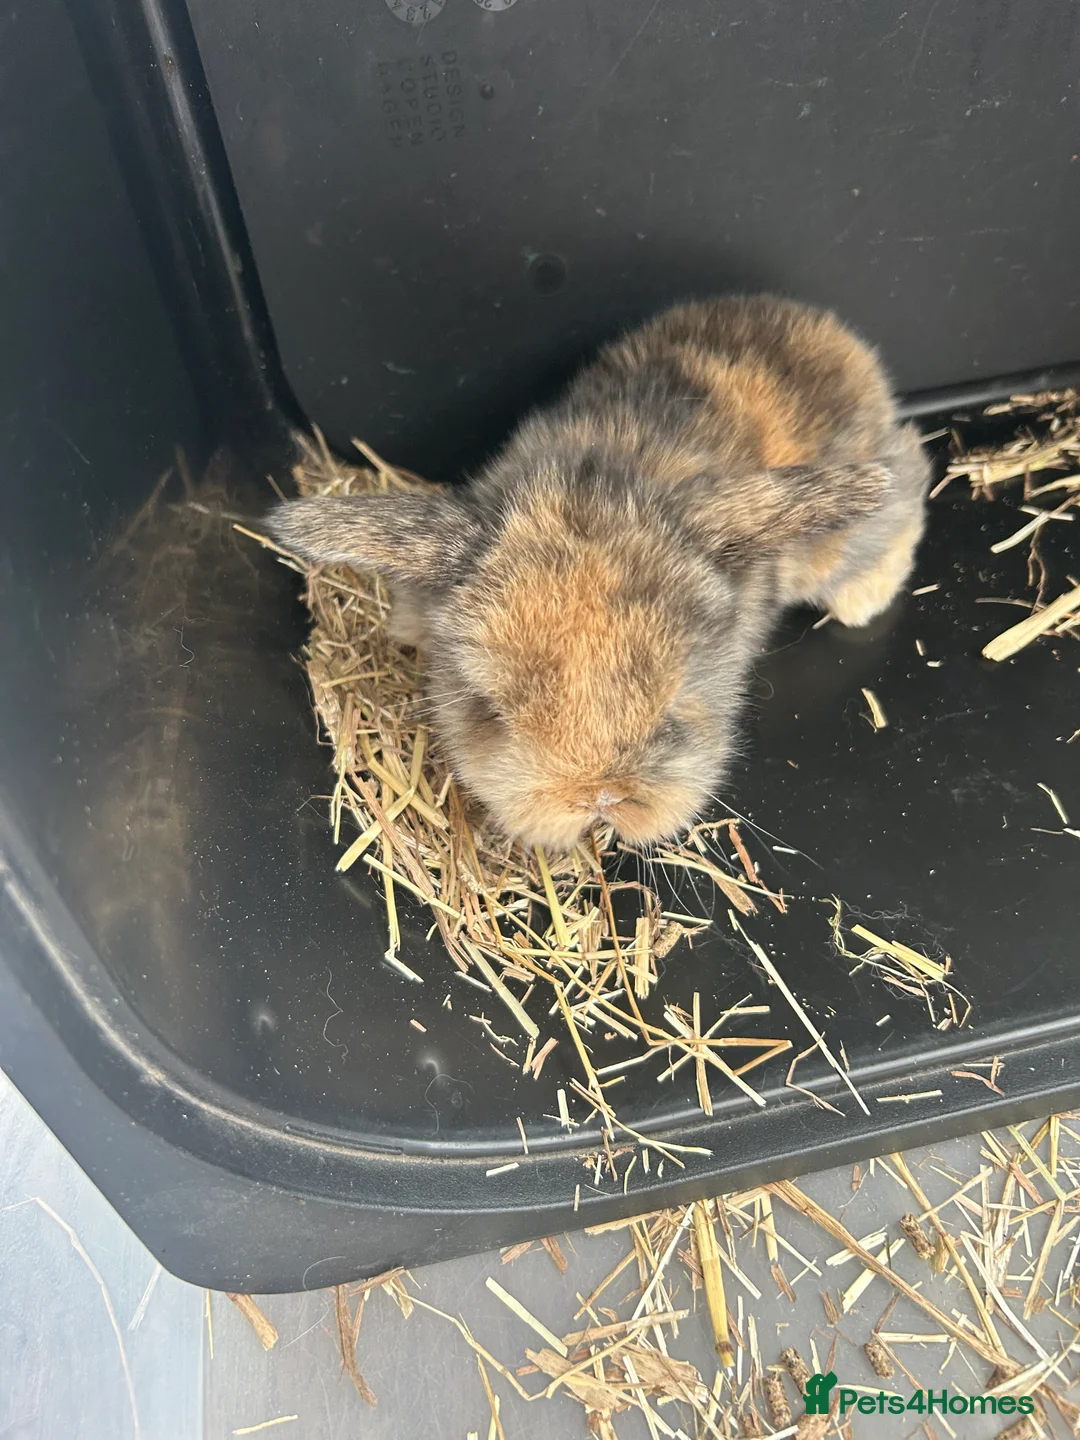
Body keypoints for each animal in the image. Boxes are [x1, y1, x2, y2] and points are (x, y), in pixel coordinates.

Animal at [270, 294, 930, 852]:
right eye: (489, 712)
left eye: (674, 709)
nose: (598, 799)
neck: (600, 477)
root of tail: (831, 333)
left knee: (910, 477)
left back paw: (863, 598)